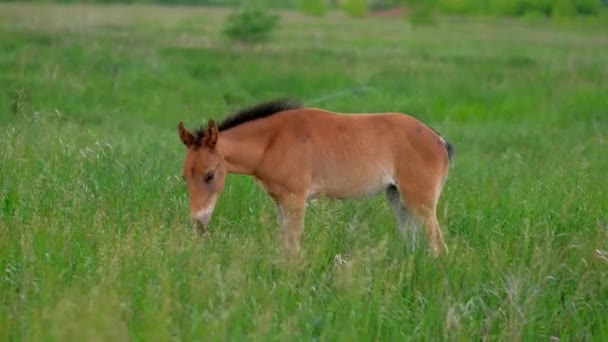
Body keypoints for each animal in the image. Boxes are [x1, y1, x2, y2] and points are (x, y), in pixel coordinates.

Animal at [178, 99, 454, 256]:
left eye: (210, 175)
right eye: (185, 177)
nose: (198, 224)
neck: (273, 141)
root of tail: (439, 139)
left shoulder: (295, 199)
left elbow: (294, 246)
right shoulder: (280, 202)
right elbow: (285, 245)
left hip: (421, 203)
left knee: (439, 248)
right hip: (398, 200)